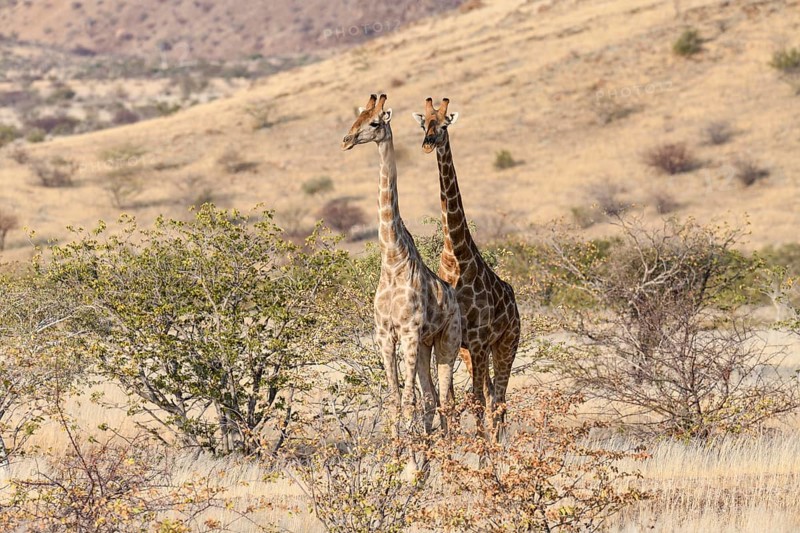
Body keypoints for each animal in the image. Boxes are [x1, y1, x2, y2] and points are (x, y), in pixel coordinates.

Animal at [342, 93, 461, 434]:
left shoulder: (408, 331)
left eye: (374, 123)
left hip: (448, 341)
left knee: (446, 400)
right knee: (432, 399)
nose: (346, 140)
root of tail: (454, 298)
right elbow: (396, 400)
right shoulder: (384, 334)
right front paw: (398, 447)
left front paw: (408, 448)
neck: (393, 259)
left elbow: (408, 400)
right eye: (355, 119)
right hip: (424, 345)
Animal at [412, 97, 521, 438]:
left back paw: (498, 449)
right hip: (474, 352)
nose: (428, 143)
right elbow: (450, 401)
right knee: (490, 394)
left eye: (445, 124)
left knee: (498, 399)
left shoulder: (479, 341)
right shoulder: (455, 342)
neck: (456, 256)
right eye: (425, 124)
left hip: (506, 344)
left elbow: (475, 401)